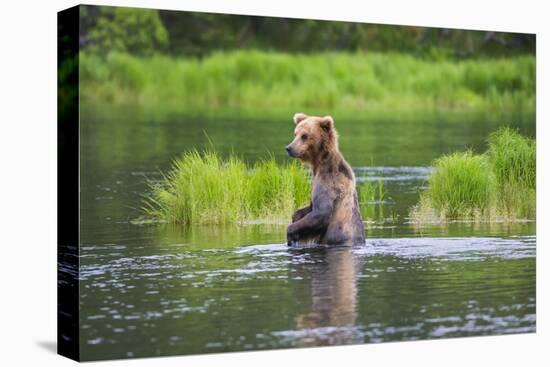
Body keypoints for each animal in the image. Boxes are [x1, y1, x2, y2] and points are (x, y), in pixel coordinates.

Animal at [284, 112, 366, 247]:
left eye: (305, 136)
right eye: (295, 134)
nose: (289, 148)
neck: (319, 164)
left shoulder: (328, 182)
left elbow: (321, 213)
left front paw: (291, 234)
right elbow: (309, 209)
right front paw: (295, 216)